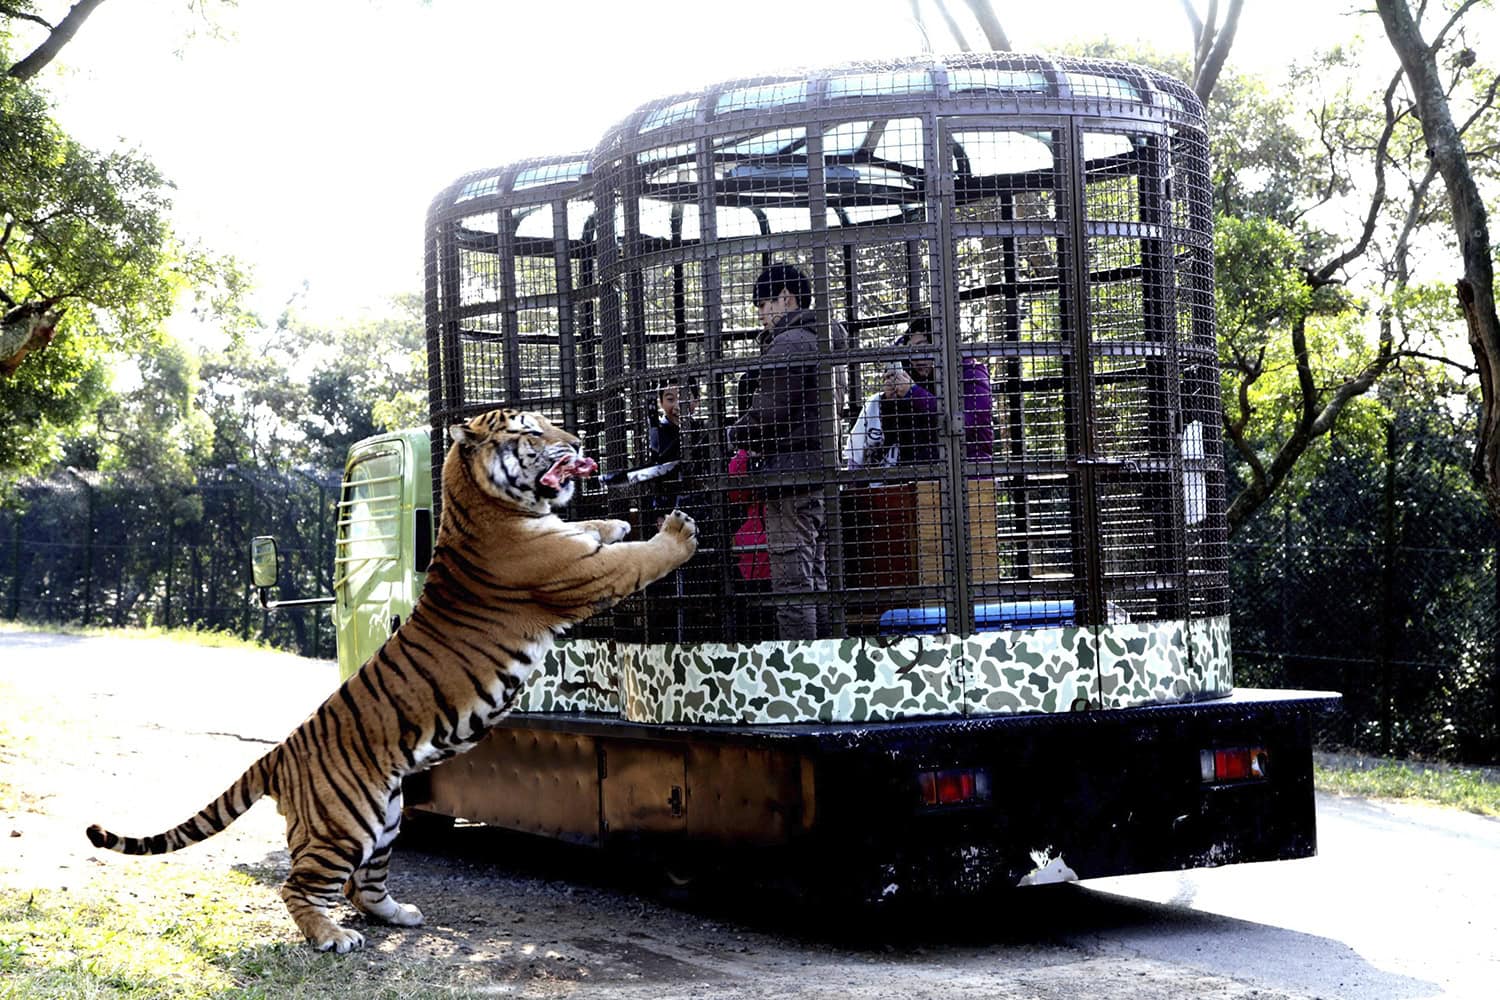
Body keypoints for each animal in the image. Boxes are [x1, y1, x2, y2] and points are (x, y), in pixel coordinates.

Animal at [87, 407, 702, 953]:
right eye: (532, 431)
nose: (577, 442)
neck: (487, 504)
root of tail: (280, 752)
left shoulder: (574, 545)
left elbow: (592, 529)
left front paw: (614, 519)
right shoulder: (583, 574)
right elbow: (638, 558)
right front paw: (677, 532)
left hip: (384, 818)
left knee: (362, 886)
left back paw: (399, 914)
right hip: (346, 825)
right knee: (300, 886)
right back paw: (333, 938)